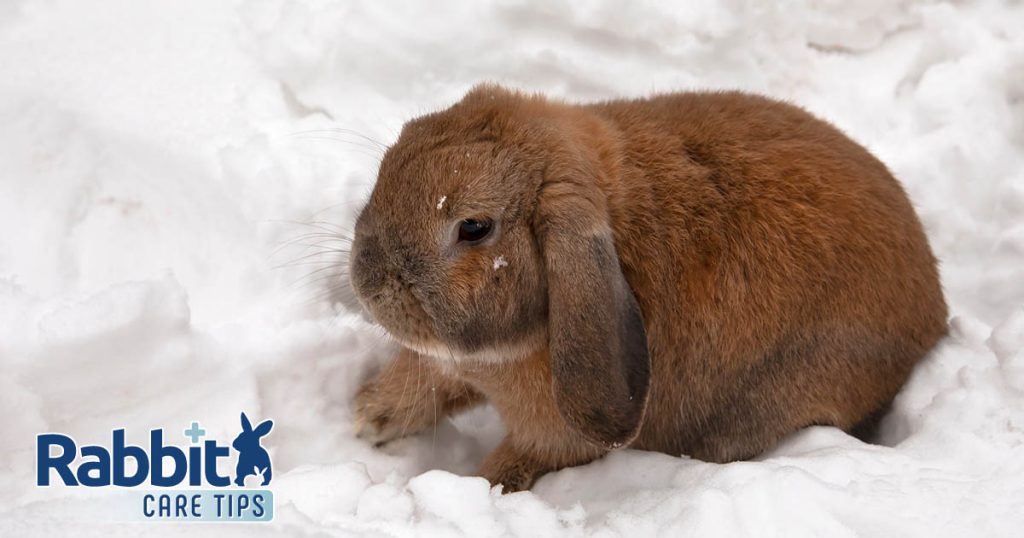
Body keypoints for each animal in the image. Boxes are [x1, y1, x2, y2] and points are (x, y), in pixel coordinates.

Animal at [348, 84, 948, 492]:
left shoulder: (555, 436)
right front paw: (367, 420)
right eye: (397, 150)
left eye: (473, 227)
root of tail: (933, 307)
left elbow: (519, 459)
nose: (366, 281)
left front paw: (480, 487)